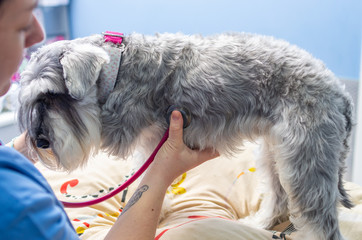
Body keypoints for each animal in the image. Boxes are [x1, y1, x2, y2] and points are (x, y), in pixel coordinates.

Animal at [17, 32, 354, 240]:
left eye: (50, 96)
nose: (40, 142)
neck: (118, 69)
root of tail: (339, 92)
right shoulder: (151, 143)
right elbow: (147, 179)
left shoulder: (156, 139)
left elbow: (146, 178)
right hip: (274, 151)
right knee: (279, 196)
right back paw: (259, 222)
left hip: (305, 160)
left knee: (321, 222)